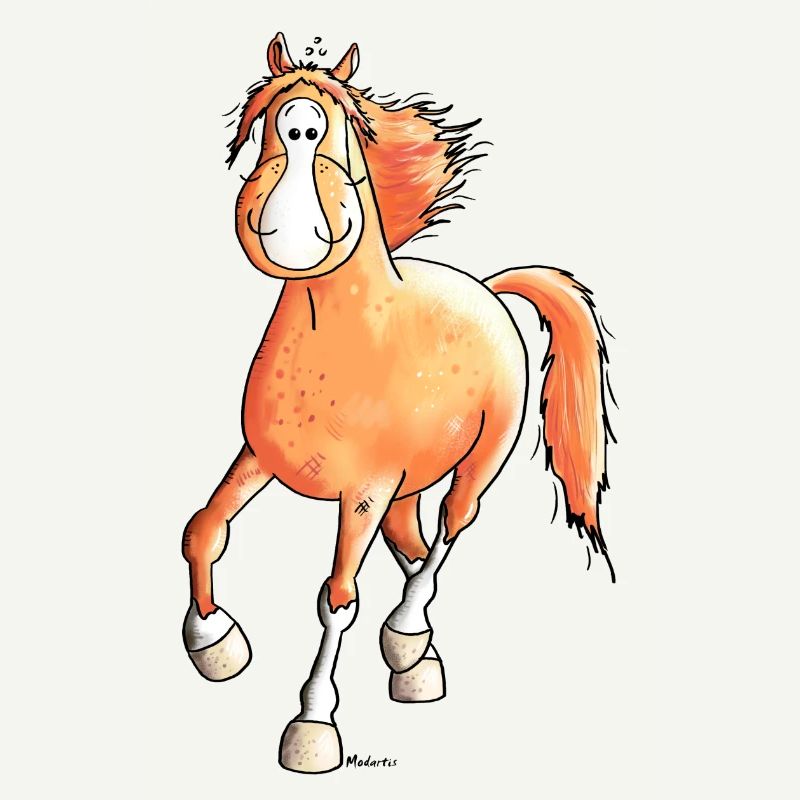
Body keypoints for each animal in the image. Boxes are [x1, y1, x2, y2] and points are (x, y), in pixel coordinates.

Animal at [181, 32, 615, 774]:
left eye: (338, 123)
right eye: (267, 119)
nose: (301, 130)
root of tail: (488, 288)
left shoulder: (363, 491)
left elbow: (336, 599)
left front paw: (312, 726)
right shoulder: (258, 459)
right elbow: (204, 529)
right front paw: (215, 643)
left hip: (476, 462)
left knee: (448, 529)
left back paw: (408, 636)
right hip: (405, 488)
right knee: (412, 548)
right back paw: (415, 659)